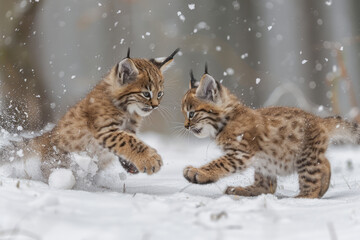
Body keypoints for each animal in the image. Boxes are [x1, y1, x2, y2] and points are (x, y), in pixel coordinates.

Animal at [1, 47, 179, 186]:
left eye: (160, 94)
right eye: (146, 94)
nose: (155, 106)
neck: (128, 110)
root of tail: (48, 134)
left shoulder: (128, 129)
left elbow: (131, 142)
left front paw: (133, 163)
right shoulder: (105, 130)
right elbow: (130, 142)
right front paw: (151, 160)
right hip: (59, 159)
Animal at [183, 65, 360, 199]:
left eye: (191, 114)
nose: (185, 126)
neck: (225, 121)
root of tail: (318, 119)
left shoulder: (242, 152)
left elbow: (220, 163)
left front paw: (198, 172)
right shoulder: (253, 157)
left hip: (305, 157)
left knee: (313, 179)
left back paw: (301, 198)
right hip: (267, 162)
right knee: (270, 185)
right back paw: (241, 190)